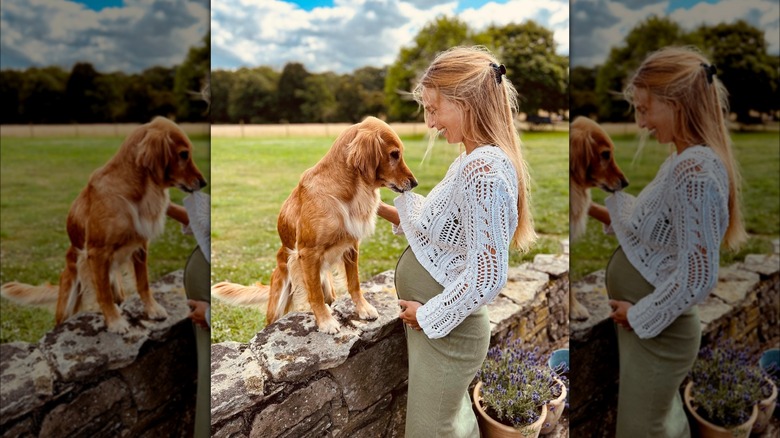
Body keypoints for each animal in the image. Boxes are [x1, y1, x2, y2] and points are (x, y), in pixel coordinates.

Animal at [0, 116, 207, 332]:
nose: (204, 183)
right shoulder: (97, 252)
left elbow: (143, 283)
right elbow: (103, 293)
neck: (133, 191)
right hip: (68, 299)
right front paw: (115, 321)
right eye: (184, 154)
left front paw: (152, 308)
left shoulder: (140, 246)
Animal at [210, 116, 418, 332]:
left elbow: (354, 282)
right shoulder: (308, 253)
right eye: (394, 154)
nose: (415, 183)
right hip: (280, 297)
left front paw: (363, 308)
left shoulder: (351, 245)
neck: (346, 192)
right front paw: (326, 321)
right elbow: (314, 294)